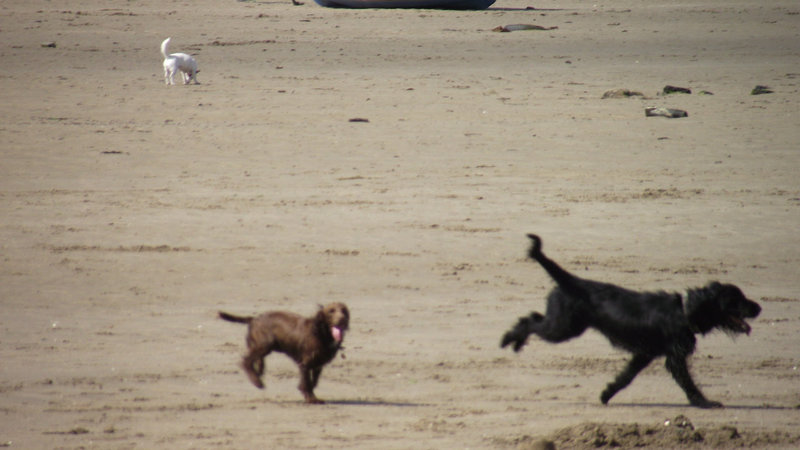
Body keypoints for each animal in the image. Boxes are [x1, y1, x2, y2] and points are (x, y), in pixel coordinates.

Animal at [500, 236, 764, 408]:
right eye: (735, 300)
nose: (759, 308)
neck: (684, 313)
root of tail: (572, 282)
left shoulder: (644, 354)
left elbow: (626, 376)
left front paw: (606, 394)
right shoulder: (675, 358)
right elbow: (688, 383)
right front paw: (704, 403)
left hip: (563, 325)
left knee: (532, 316)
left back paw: (515, 342)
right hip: (562, 328)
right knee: (529, 322)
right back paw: (509, 340)